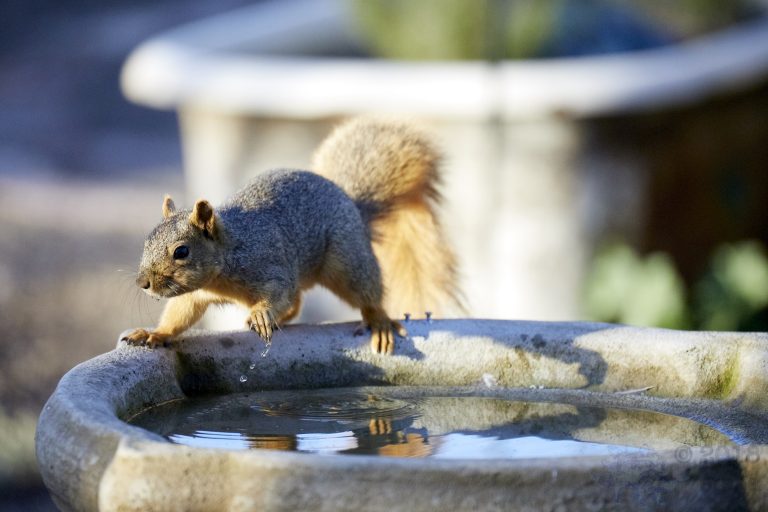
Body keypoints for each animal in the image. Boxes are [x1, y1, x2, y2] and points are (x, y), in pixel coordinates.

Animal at [122, 117, 463, 354]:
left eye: (181, 251)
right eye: (146, 242)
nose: (143, 283)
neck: (225, 261)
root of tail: (351, 203)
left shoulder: (268, 263)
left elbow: (279, 292)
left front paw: (262, 313)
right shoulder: (195, 296)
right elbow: (179, 315)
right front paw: (155, 334)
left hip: (346, 260)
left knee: (363, 292)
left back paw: (378, 322)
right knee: (297, 303)